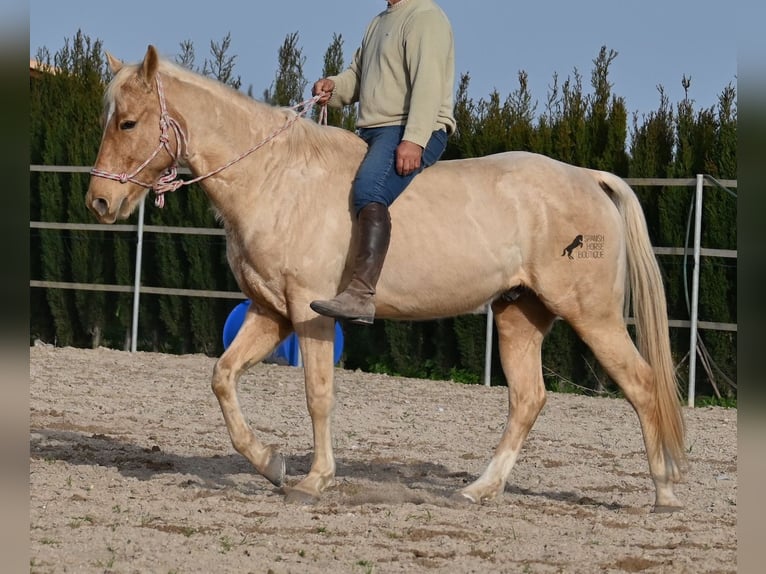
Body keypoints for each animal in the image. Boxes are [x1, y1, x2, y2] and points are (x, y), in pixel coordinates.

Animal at [86, 45, 686, 511]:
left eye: (129, 122)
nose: (100, 201)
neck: (277, 178)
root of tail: (587, 177)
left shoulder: (308, 312)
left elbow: (318, 394)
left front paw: (313, 479)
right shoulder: (270, 311)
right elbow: (223, 376)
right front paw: (270, 463)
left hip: (593, 315)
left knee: (641, 384)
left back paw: (663, 492)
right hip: (520, 313)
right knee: (528, 399)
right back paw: (480, 490)